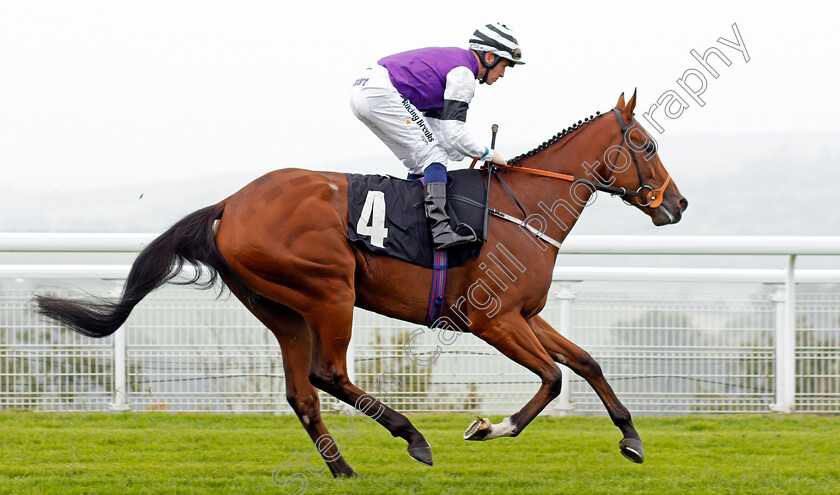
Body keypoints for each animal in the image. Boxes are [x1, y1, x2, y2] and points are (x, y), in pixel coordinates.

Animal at [34, 91, 688, 478]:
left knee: (303, 392)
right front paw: (488, 427)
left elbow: (586, 362)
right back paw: (412, 437)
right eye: (647, 145)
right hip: (330, 292)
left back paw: (343, 468)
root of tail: (229, 204)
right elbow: (553, 378)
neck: (522, 207)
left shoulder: (525, 315)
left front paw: (631, 439)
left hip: (281, 308)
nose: (677, 204)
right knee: (328, 374)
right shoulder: (493, 319)